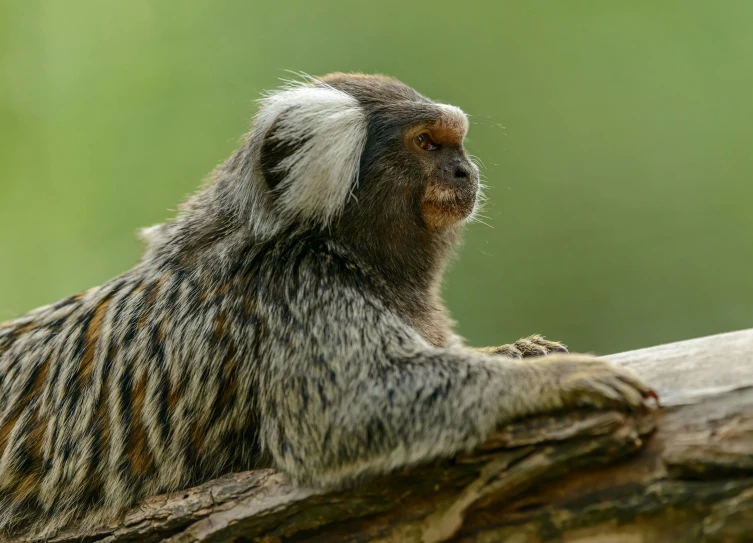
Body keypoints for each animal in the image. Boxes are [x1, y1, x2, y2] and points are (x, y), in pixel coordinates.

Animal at [0, 73, 648, 540]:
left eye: (456, 144)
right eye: (427, 143)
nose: (467, 171)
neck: (331, 244)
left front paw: (517, 352)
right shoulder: (299, 296)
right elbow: (343, 412)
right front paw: (555, 378)